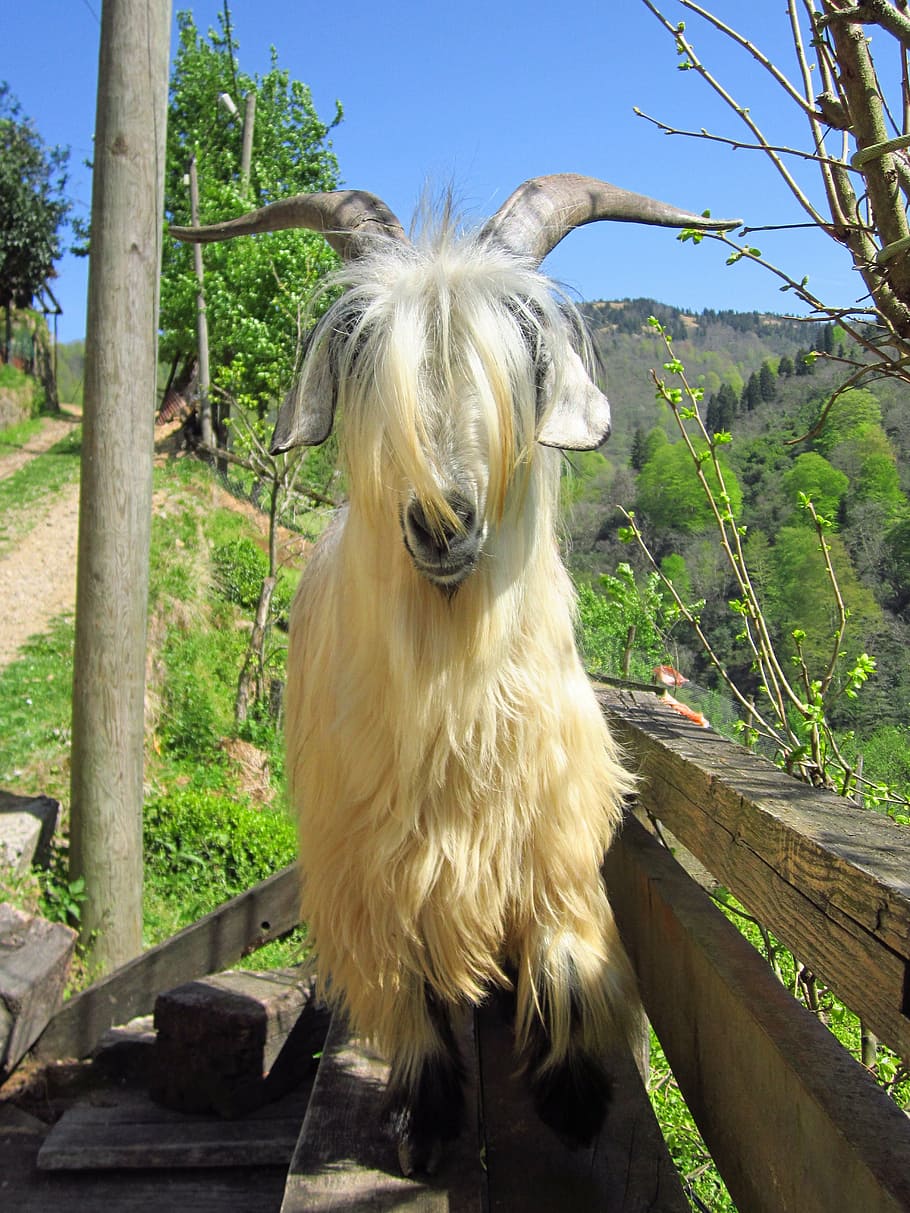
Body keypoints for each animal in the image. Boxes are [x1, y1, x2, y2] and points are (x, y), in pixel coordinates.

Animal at [172, 175, 738, 1173]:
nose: (442, 520)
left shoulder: (560, 824)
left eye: (522, 353)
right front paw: (423, 1117)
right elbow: (404, 988)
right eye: (365, 353)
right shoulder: (363, 864)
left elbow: (568, 942)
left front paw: (576, 1095)